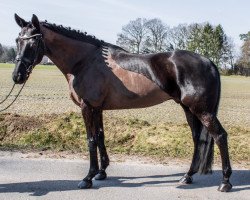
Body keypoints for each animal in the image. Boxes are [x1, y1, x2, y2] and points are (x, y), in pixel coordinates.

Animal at [12, 14, 232, 192]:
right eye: (17, 40)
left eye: (33, 42)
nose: (17, 76)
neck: (84, 62)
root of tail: (209, 62)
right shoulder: (97, 109)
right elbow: (100, 137)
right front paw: (101, 172)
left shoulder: (87, 107)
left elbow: (91, 140)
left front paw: (88, 178)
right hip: (188, 109)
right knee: (197, 139)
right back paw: (187, 176)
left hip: (202, 111)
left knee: (220, 136)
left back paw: (225, 182)